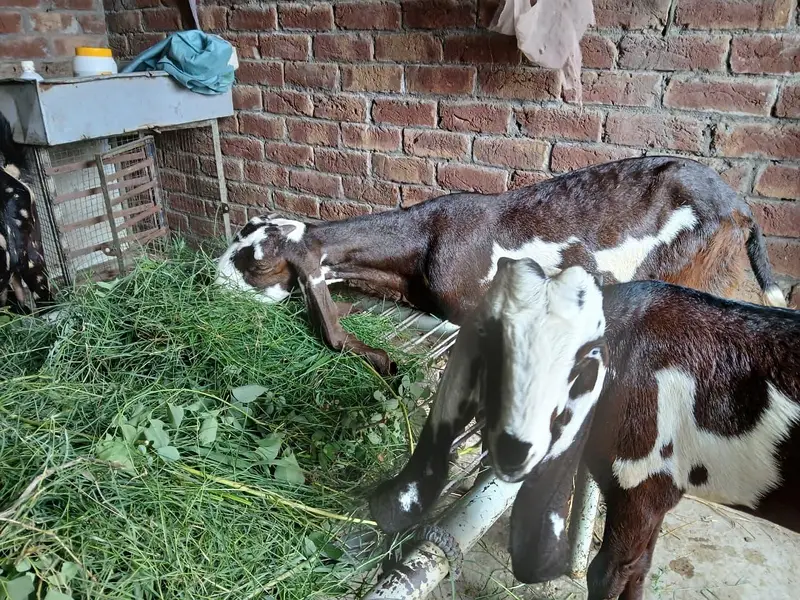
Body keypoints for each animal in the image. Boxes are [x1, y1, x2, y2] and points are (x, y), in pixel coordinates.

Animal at [216, 156, 787, 375]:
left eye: (258, 266)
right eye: (242, 231)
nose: (211, 278)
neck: (423, 240)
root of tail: (740, 206)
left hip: (691, 269)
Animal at [370, 257, 800, 600]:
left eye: (584, 361)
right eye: (490, 341)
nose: (514, 448)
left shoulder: (642, 487)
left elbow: (610, 574)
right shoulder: (653, 492)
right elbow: (638, 572)